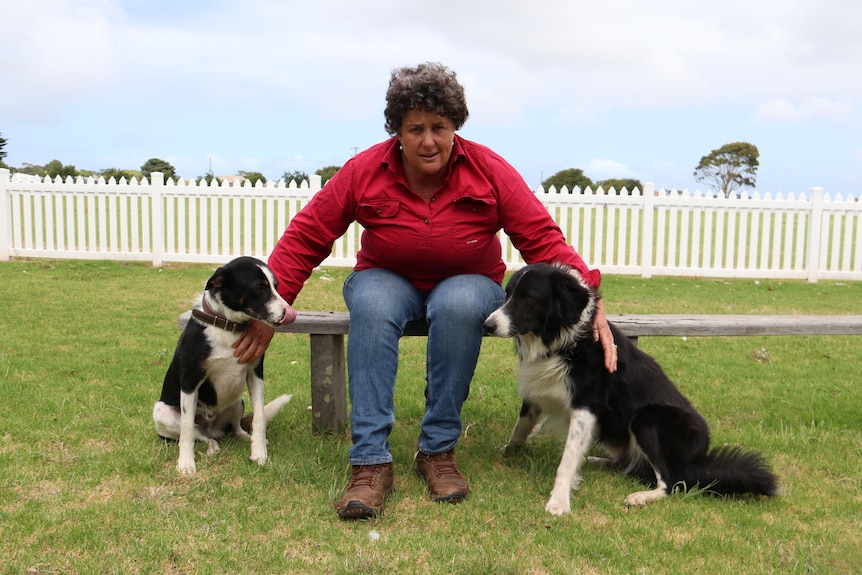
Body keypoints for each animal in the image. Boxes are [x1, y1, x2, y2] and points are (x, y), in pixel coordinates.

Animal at [150, 258, 296, 474]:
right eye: (259, 287)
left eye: (275, 286)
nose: (289, 314)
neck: (228, 327)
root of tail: (212, 427)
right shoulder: (190, 380)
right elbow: (187, 430)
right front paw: (186, 462)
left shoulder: (255, 374)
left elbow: (259, 418)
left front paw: (259, 452)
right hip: (162, 412)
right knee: (199, 435)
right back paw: (212, 447)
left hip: (238, 401)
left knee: (234, 429)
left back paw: (244, 438)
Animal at [482, 264, 780, 516]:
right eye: (507, 294)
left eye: (528, 297)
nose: (487, 325)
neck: (561, 342)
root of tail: (700, 461)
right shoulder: (538, 393)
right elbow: (520, 429)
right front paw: (507, 451)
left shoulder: (585, 406)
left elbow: (567, 459)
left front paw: (559, 501)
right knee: (632, 465)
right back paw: (596, 460)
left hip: (647, 418)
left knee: (670, 482)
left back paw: (641, 497)